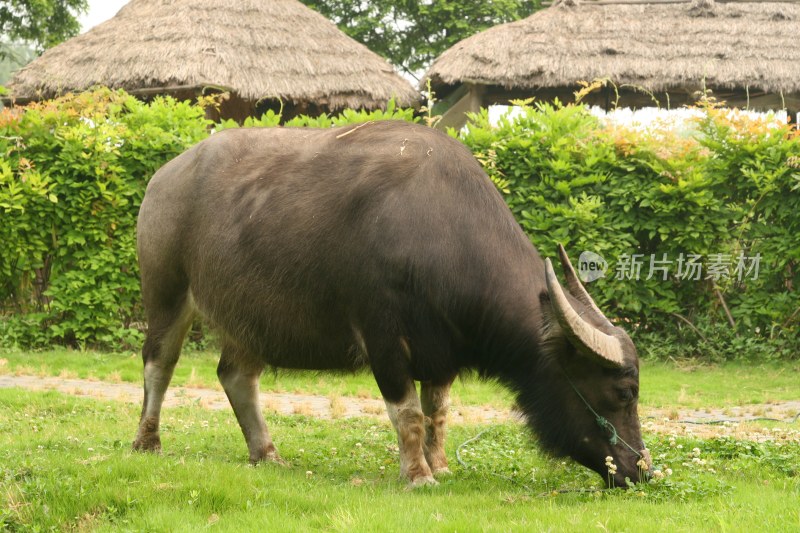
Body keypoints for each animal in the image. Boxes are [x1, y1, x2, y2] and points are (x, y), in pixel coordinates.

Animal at [134, 120, 648, 486]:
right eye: (624, 392)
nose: (640, 470)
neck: (440, 232)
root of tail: (163, 178)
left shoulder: (442, 349)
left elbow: (437, 412)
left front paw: (441, 467)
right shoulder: (382, 337)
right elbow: (408, 413)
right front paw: (418, 476)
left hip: (248, 316)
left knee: (236, 376)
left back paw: (266, 453)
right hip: (167, 293)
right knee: (158, 364)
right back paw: (147, 442)